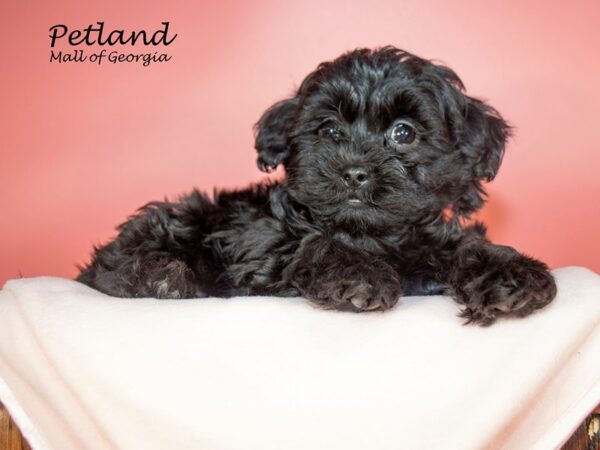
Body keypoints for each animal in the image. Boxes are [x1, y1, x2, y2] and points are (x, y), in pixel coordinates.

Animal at [78, 47, 556, 326]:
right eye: (328, 130)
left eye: (404, 133)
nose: (356, 172)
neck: (372, 236)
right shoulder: (258, 245)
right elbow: (315, 244)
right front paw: (360, 275)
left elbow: (464, 246)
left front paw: (511, 275)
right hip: (180, 221)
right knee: (112, 265)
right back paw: (162, 276)